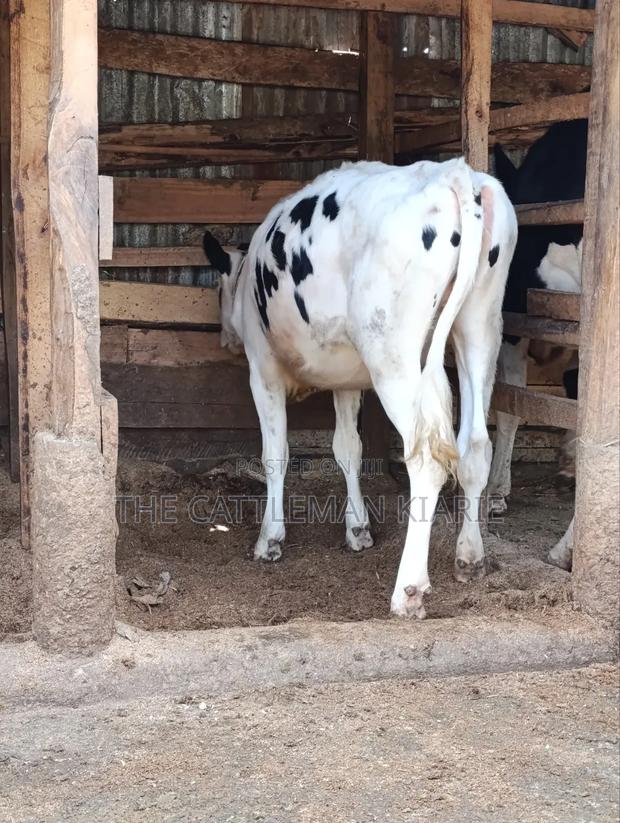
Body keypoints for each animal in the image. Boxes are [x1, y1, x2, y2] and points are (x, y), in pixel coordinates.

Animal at [204, 157, 517, 617]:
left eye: (216, 290)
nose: (224, 337)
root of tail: (453, 172)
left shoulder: (262, 369)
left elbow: (275, 454)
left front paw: (270, 539)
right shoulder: (347, 380)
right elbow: (348, 449)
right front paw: (358, 529)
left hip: (393, 354)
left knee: (427, 457)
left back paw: (408, 590)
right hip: (480, 326)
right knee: (475, 446)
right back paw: (470, 556)